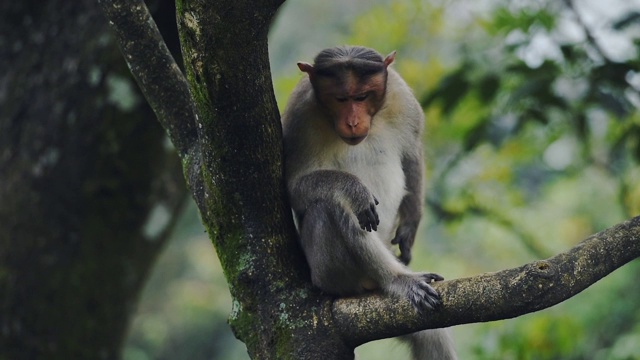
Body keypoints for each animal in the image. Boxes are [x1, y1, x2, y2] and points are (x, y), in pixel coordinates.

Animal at [282, 45, 458, 360]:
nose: (353, 121)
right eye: (341, 99)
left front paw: (410, 227)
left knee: (433, 335)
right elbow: (295, 187)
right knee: (330, 208)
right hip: (329, 274)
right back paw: (396, 280)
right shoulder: (299, 115)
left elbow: (412, 153)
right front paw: (354, 190)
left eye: (362, 96)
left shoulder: (401, 96)